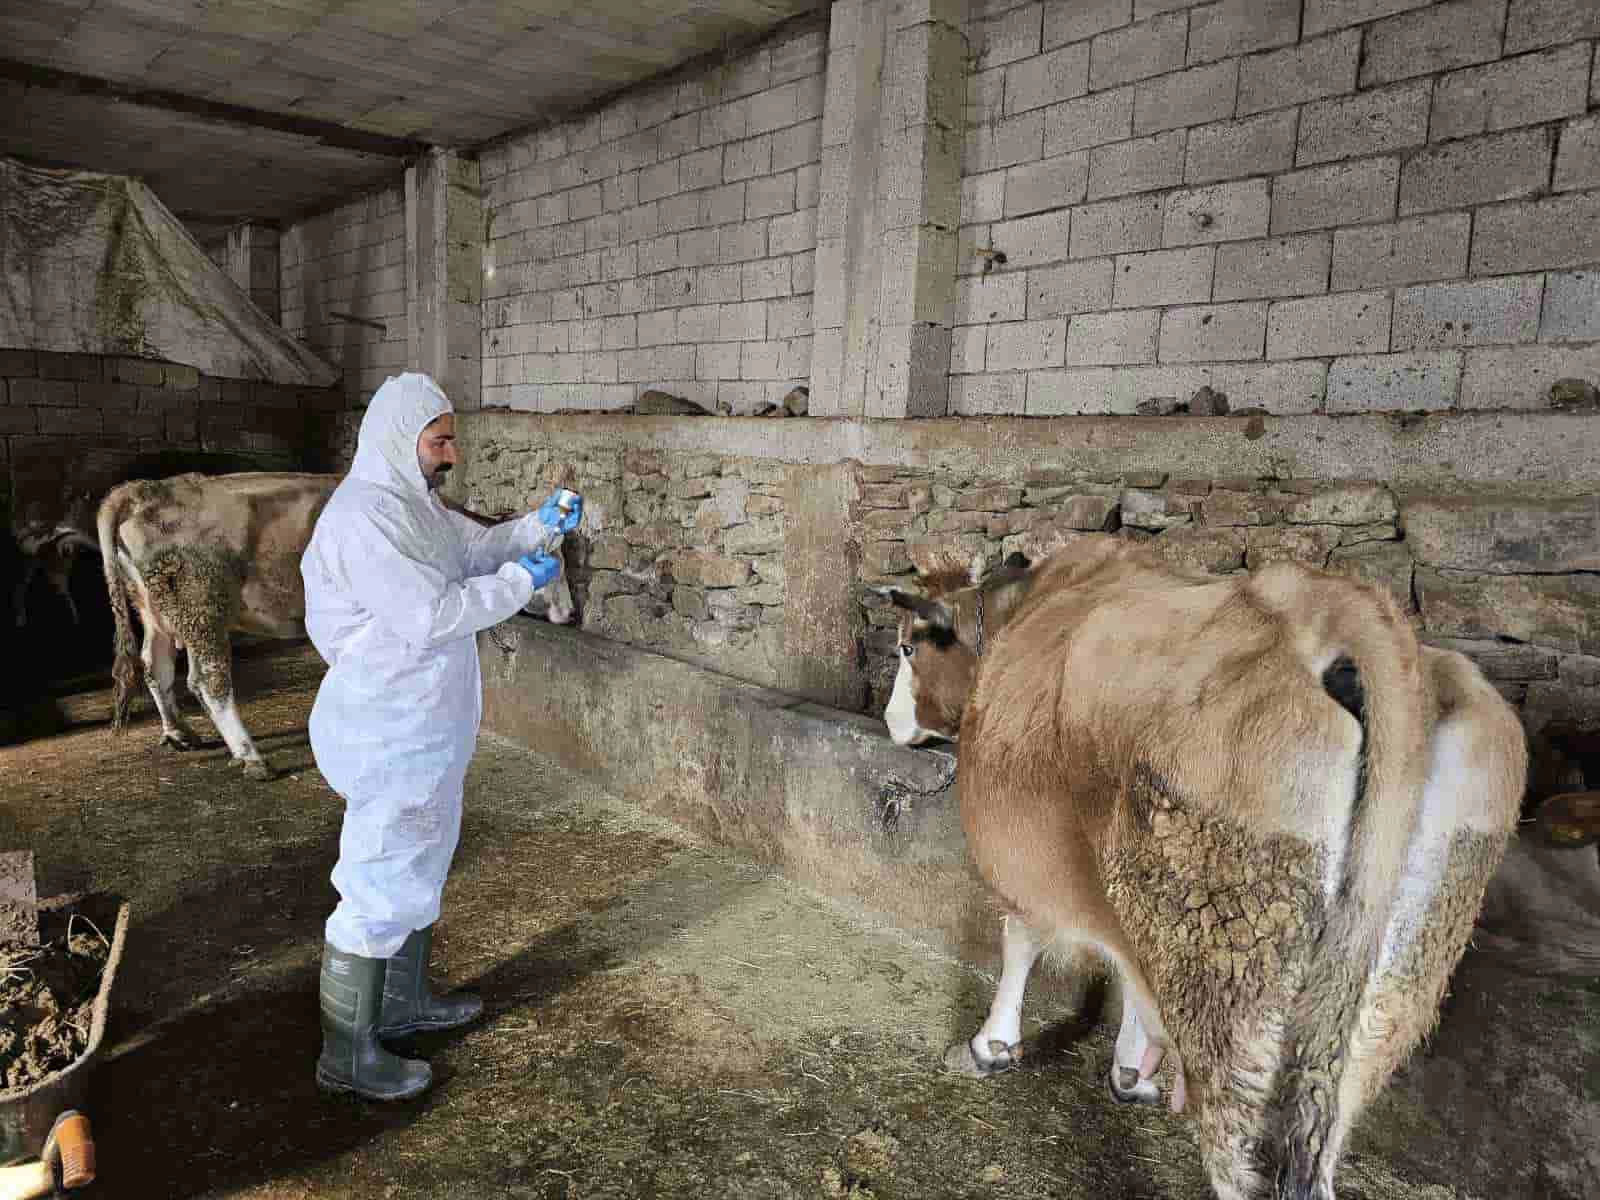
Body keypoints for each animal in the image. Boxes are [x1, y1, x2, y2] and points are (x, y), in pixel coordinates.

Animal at [98, 470, 576, 780]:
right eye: (553, 564)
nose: (572, 613)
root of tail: (143, 490)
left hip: (156, 609)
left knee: (154, 666)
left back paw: (179, 732)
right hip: (202, 606)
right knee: (208, 681)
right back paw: (250, 756)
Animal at [889, 544, 1523, 1200]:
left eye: (906, 647)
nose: (891, 722)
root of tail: (1334, 606)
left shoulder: (1024, 857)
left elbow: (1022, 942)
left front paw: (990, 1045)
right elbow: (1130, 973)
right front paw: (1133, 1068)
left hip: (1228, 977)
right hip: (1387, 996)